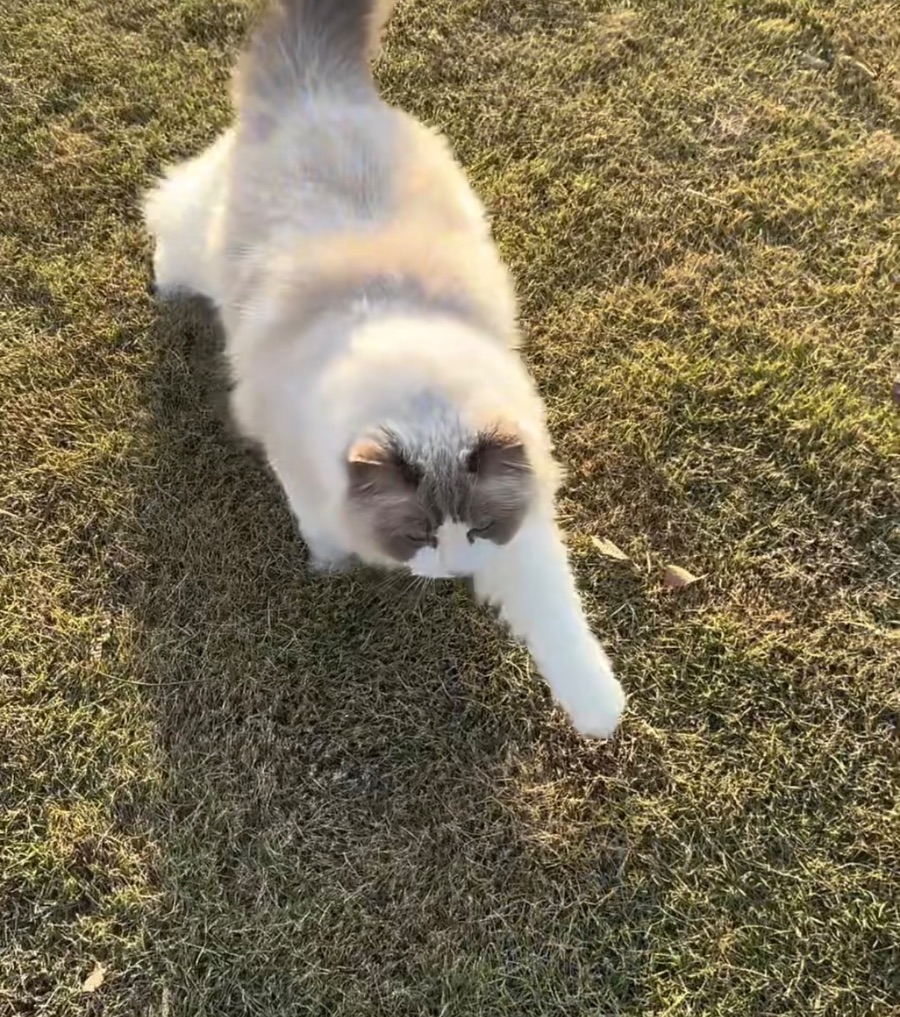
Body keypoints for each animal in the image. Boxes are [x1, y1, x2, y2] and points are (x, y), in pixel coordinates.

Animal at [143, 0, 626, 738]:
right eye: (418, 535)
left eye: (477, 531)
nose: (454, 572)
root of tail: (319, 87)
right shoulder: (299, 462)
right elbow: (320, 525)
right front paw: (332, 564)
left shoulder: (521, 532)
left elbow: (560, 621)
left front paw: (600, 714)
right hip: (203, 241)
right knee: (168, 210)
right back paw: (166, 283)